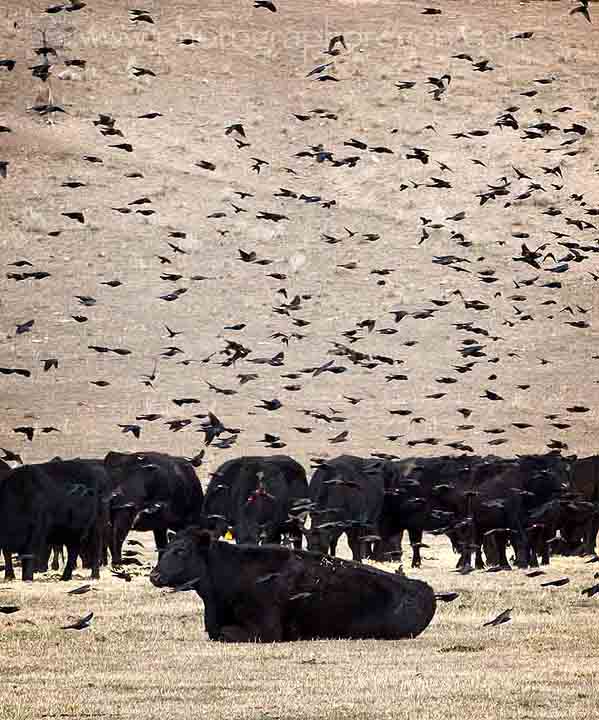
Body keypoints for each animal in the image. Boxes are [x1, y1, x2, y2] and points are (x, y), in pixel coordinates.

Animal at [150, 528, 436, 642]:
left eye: (181, 551)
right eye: (165, 549)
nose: (154, 575)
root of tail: (425, 589)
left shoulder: (265, 630)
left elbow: (225, 634)